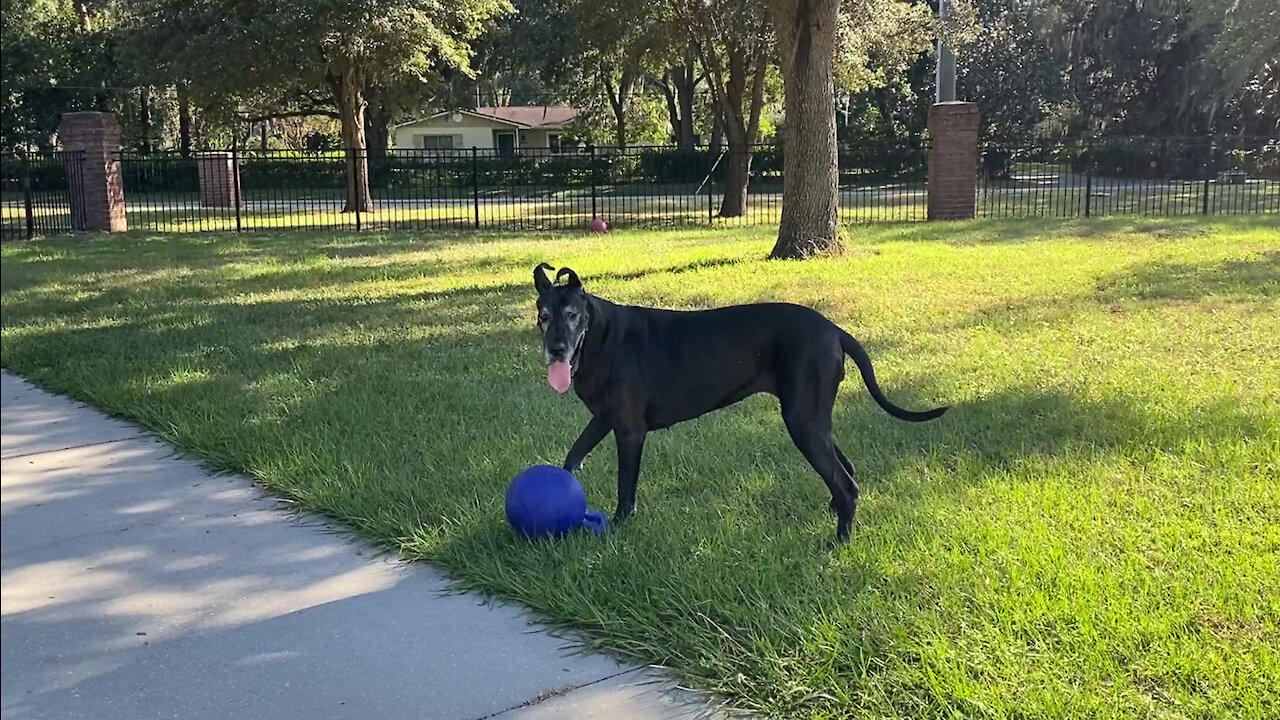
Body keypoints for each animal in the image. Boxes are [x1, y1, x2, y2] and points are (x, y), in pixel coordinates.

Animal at [535, 262, 947, 538]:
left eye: (571, 315)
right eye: (543, 315)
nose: (557, 350)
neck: (598, 337)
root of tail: (834, 330)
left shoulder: (630, 431)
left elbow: (626, 486)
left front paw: (620, 525)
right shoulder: (605, 419)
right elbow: (573, 455)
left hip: (802, 420)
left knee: (844, 483)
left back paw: (838, 542)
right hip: (813, 419)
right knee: (846, 471)